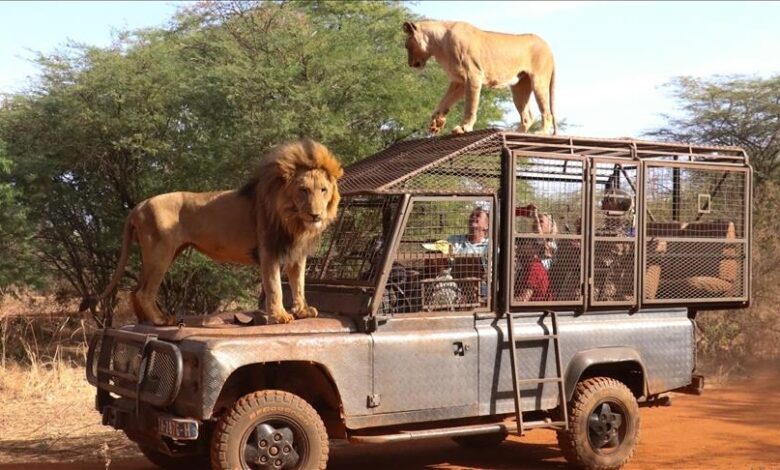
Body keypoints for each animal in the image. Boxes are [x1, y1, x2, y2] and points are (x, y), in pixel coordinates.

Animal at [78, 138, 342, 324]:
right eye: (303, 190)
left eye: (323, 190)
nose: (316, 215)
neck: (294, 219)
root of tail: (139, 205)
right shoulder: (269, 250)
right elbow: (275, 285)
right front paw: (280, 316)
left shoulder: (297, 252)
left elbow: (299, 283)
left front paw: (303, 311)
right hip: (160, 252)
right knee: (144, 291)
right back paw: (161, 320)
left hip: (160, 253)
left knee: (135, 290)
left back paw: (144, 320)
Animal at [406, 20, 556, 134]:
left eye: (406, 46)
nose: (410, 64)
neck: (438, 45)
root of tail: (549, 47)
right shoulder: (459, 81)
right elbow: (444, 102)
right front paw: (436, 123)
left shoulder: (473, 75)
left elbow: (470, 105)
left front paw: (464, 127)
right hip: (519, 88)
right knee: (527, 117)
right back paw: (516, 133)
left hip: (539, 81)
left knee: (547, 112)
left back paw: (541, 132)